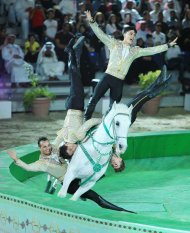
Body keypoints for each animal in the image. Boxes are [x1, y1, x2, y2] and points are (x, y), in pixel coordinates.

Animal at [53, 35, 172, 201]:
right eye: (116, 123)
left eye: (128, 125)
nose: (122, 146)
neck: (97, 152)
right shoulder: (70, 174)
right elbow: (64, 192)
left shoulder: (88, 183)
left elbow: (76, 196)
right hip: (74, 105)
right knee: (75, 81)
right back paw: (74, 45)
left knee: (143, 97)